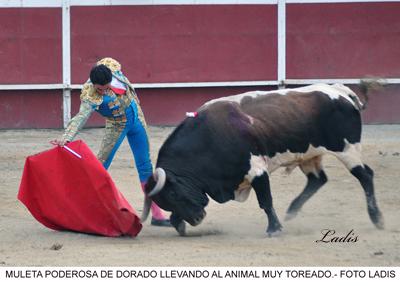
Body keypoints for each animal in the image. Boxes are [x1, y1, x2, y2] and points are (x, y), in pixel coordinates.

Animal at [141, 82, 384, 237]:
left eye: (173, 194)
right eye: (165, 201)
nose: (197, 219)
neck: (209, 138)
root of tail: (339, 90)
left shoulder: (257, 170)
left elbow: (266, 201)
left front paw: (274, 230)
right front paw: (179, 224)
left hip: (347, 149)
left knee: (365, 175)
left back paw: (377, 219)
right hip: (309, 154)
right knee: (318, 179)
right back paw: (292, 211)